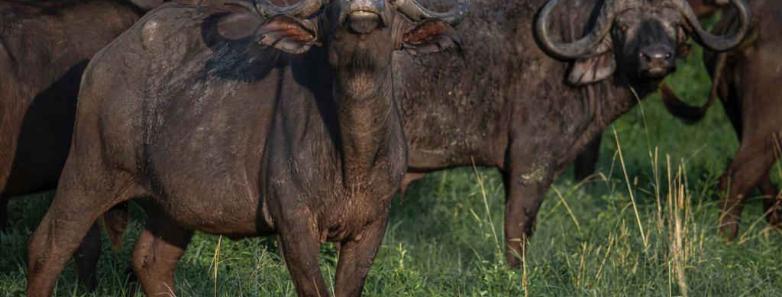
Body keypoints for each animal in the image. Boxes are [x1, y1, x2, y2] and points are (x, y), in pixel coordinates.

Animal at [23, 0, 466, 296]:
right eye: (329, 7)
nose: (363, 10)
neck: (352, 156)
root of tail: (103, 60)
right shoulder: (294, 223)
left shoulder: (372, 225)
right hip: (89, 171)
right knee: (48, 247)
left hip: (173, 207)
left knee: (150, 262)